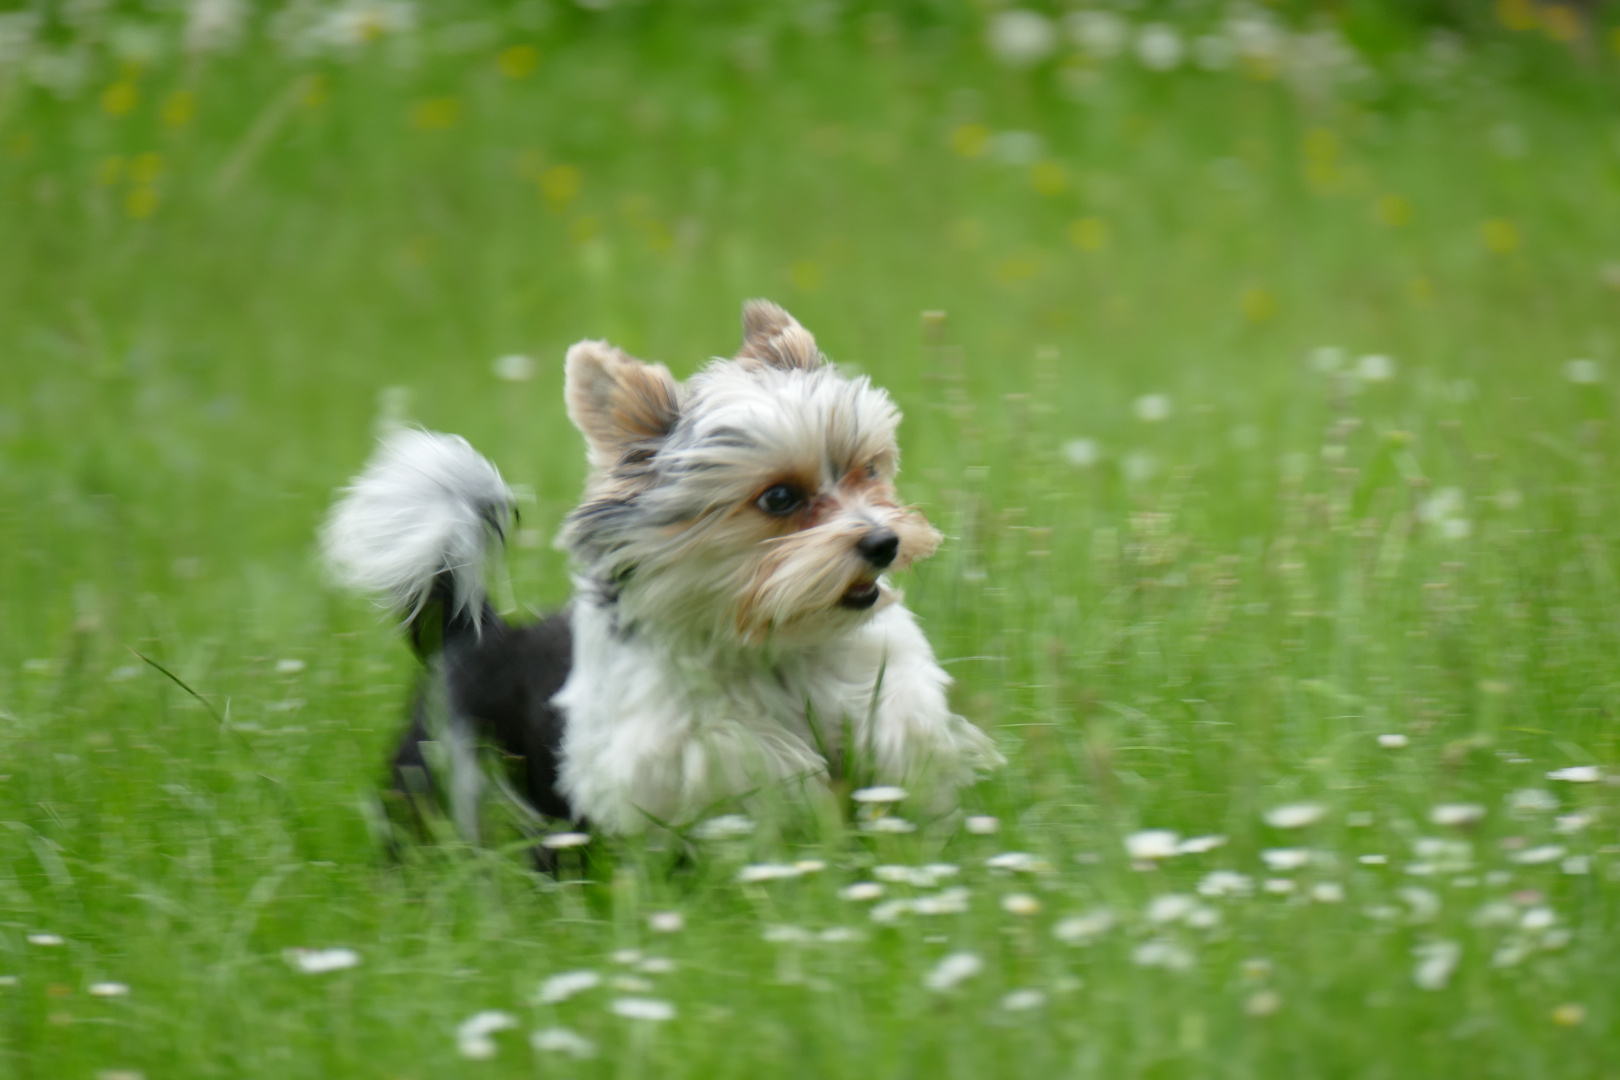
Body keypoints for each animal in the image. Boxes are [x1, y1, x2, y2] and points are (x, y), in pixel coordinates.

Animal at [319, 299, 997, 841]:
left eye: (868, 470)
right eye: (779, 497)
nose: (883, 542)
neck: (777, 646)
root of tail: (470, 633)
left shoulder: (876, 674)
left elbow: (901, 717)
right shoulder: (665, 749)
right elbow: (742, 755)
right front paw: (800, 792)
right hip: (442, 765)